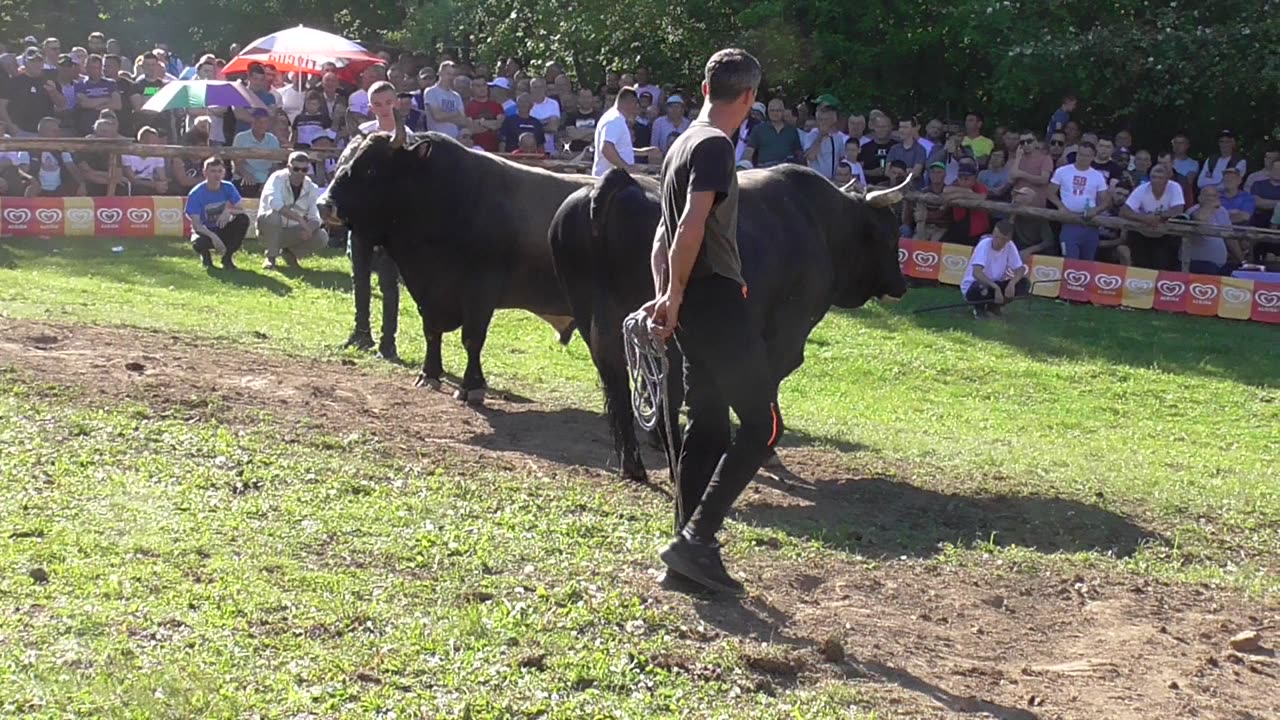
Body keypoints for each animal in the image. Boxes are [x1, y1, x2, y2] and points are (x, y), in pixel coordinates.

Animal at [325, 131, 593, 399]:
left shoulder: (480, 291)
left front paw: (471, 386)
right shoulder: (427, 291)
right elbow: (431, 332)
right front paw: (429, 374)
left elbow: (472, 339)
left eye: (371, 169)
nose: (325, 205)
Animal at [550, 163, 911, 481]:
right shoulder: (786, 334)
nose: (901, 286)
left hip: (599, 324)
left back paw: (634, 464)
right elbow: (767, 383)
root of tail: (620, 183)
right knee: (663, 395)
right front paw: (769, 448)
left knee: (618, 388)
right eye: (891, 236)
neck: (821, 224)